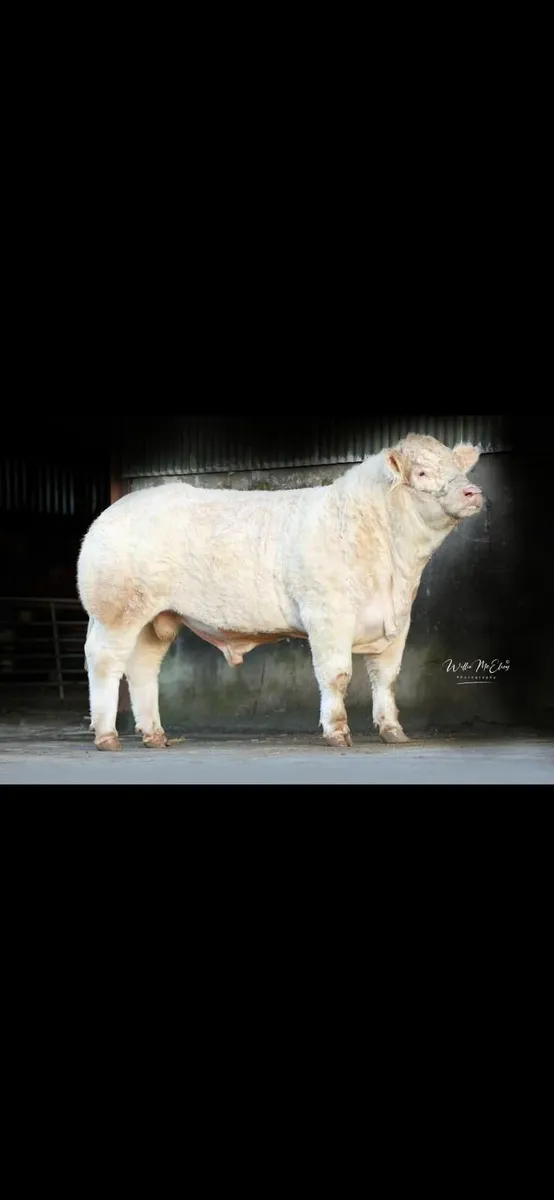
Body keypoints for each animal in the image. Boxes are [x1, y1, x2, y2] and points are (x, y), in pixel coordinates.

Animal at [77, 434, 484, 751]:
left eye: (458, 467)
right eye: (423, 472)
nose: (473, 491)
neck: (394, 568)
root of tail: (112, 512)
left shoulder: (399, 621)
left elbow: (386, 678)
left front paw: (393, 731)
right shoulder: (328, 615)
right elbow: (336, 675)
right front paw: (337, 733)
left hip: (158, 618)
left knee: (143, 667)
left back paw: (155, 735)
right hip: (117, 611)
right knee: (106, 661)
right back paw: (107, 736)